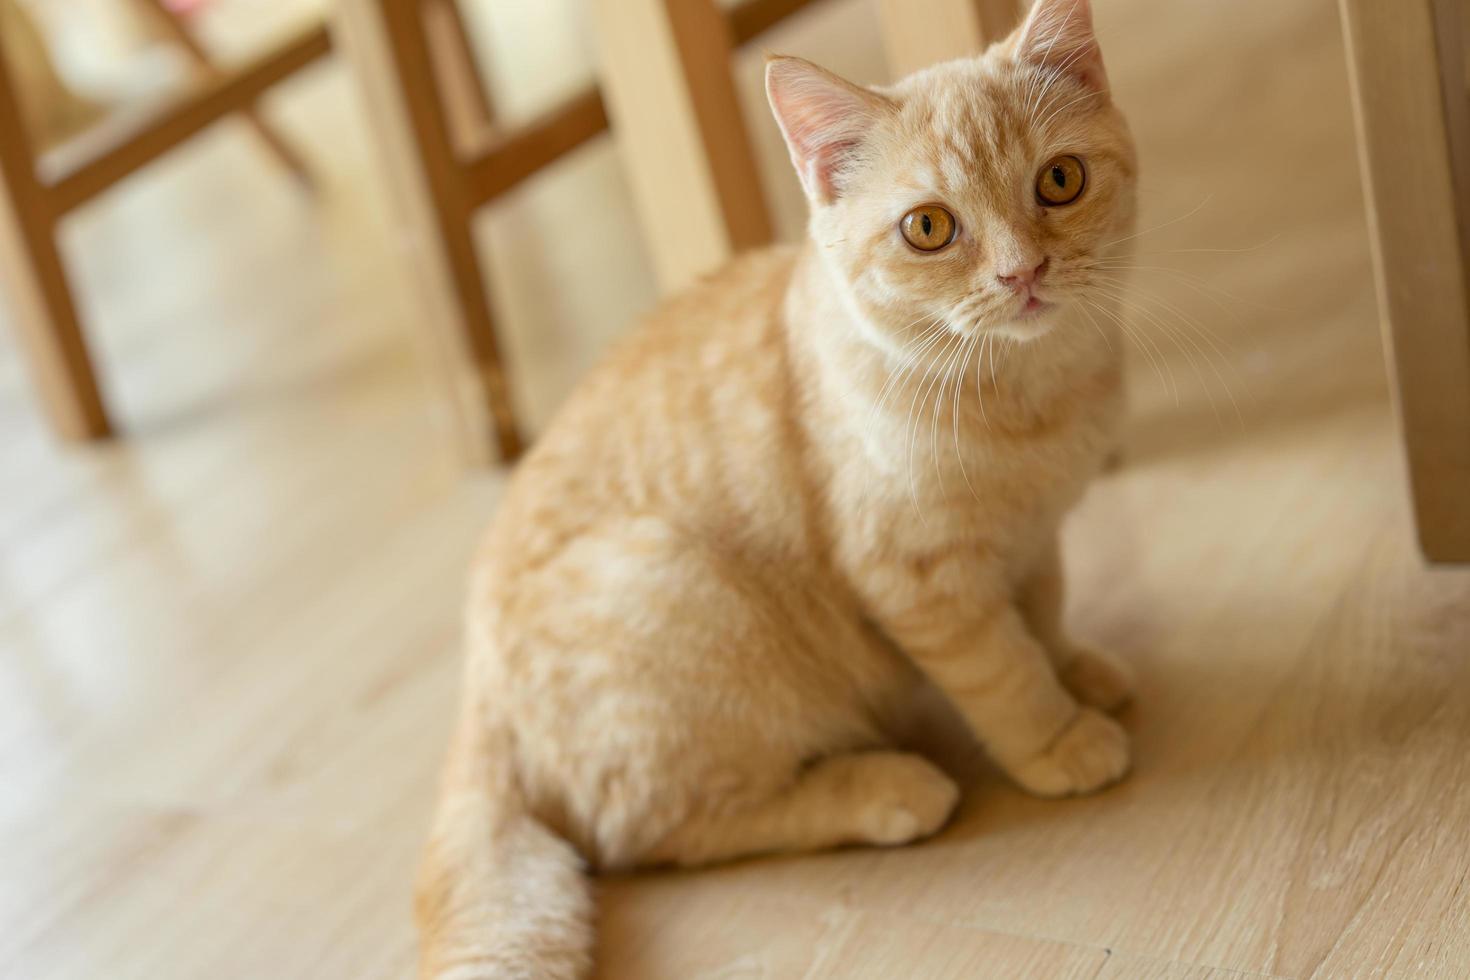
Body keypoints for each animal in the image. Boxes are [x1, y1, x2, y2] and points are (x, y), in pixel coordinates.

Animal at [414, 3, 1134, 975]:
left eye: (1060, 180)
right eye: (929, 229)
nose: (1022, 272)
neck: (1033, 399)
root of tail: (475, 700)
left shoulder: (1035, 535)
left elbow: (1045, 613)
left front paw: (1076, 669)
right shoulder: (920, 577)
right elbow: (1005, 669)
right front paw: (1057, 734)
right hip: (681, 595)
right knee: (657, 831)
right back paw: (883, 788)